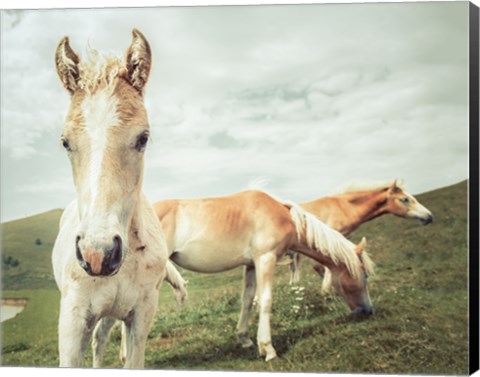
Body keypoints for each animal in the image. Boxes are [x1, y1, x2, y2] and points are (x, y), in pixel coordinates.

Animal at [50, 29, 186, 368]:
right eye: (65, 142)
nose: (98, 254)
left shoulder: (141, 316)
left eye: (143, 138)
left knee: (100, 339)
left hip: (112, 314)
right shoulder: (72, 321)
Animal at [150, 191, 376, 362]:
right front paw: (268, 349)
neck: (281, 216)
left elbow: (248, 300)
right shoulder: (266, 259)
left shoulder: (251, 265)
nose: (368, 310)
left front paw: (244, 339)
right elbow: (266, 301)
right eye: (364, 275)